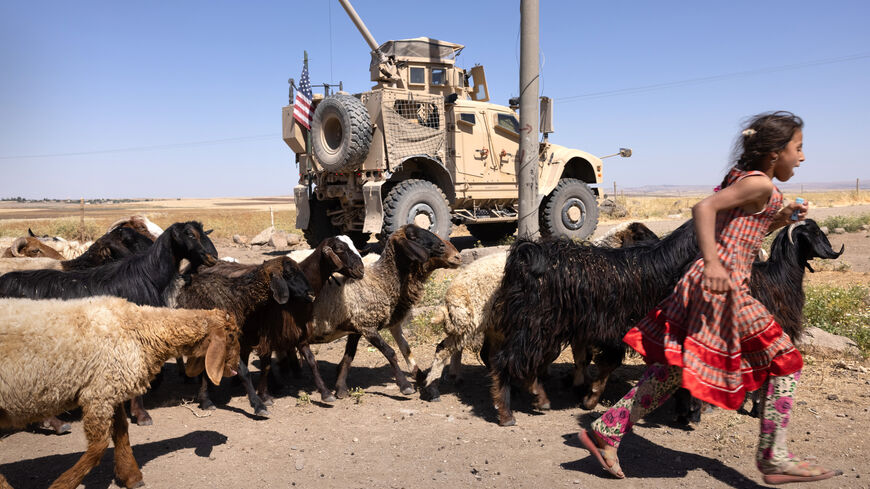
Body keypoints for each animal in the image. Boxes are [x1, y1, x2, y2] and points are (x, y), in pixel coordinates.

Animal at [488, 219, 700, 426]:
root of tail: (526, 253)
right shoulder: (618, 331)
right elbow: (609, 365)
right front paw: (590, 399)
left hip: (536, 328)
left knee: (523, 360)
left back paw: (538, 397)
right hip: (534, 325)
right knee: (507, 360)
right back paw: (507, 413)